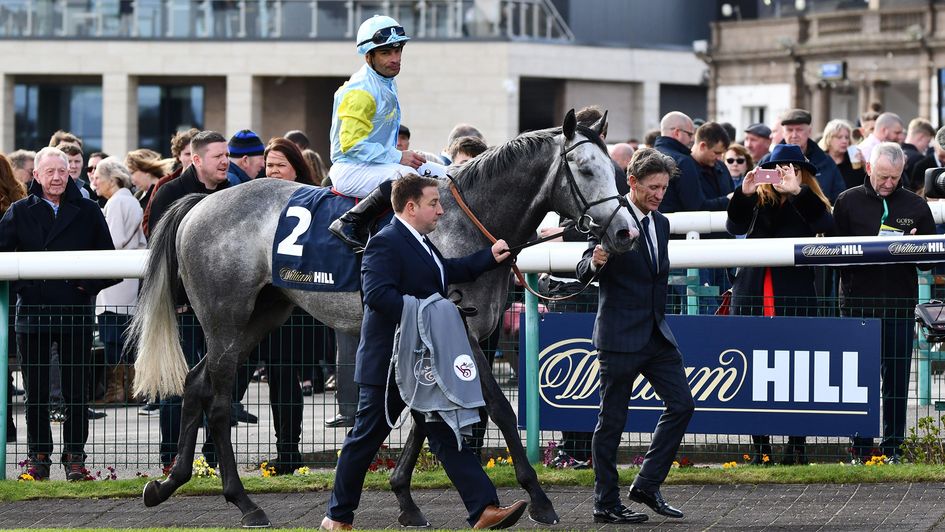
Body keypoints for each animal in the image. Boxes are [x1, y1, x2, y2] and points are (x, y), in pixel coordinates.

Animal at [129, 111, 636, 528]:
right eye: (585, 169)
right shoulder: (462, 329)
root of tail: (200, 204)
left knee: (195, 382)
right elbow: (497, 409)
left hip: (264, 313)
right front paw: (539, 500)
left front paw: (404, 498)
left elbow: (425, 414)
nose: (625, 232)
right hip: (226, 317)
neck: (466, 222)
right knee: (216, 400)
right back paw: (244, 503)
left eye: (618, 171)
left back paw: (167, 483)